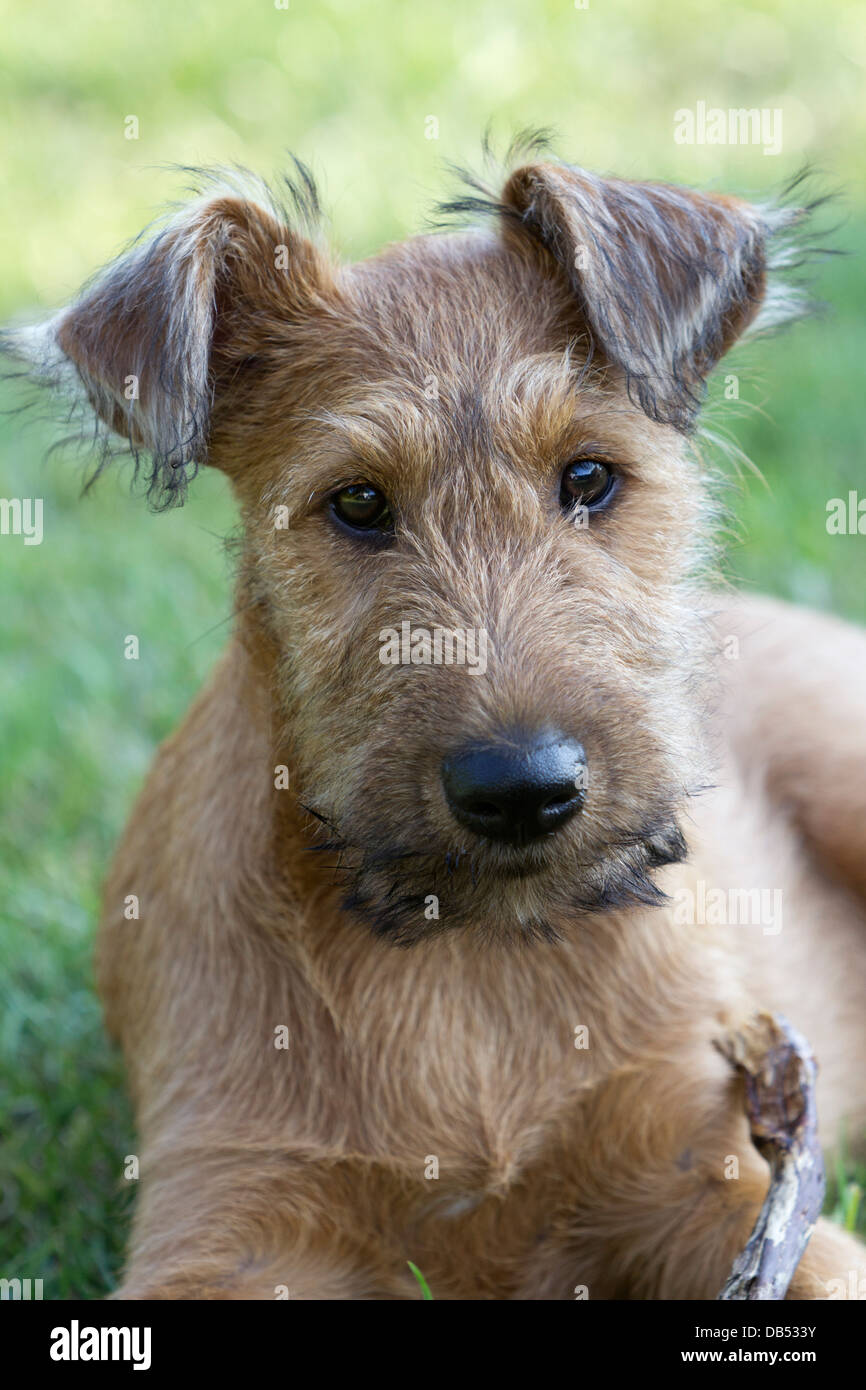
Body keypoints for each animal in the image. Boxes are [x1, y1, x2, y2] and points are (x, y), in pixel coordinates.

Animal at [6, 138, 866, 1289]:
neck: (468, 951)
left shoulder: (707, 1169)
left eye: (588, 476)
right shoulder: (227, 1208)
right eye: (358, 503)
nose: (522, 790)